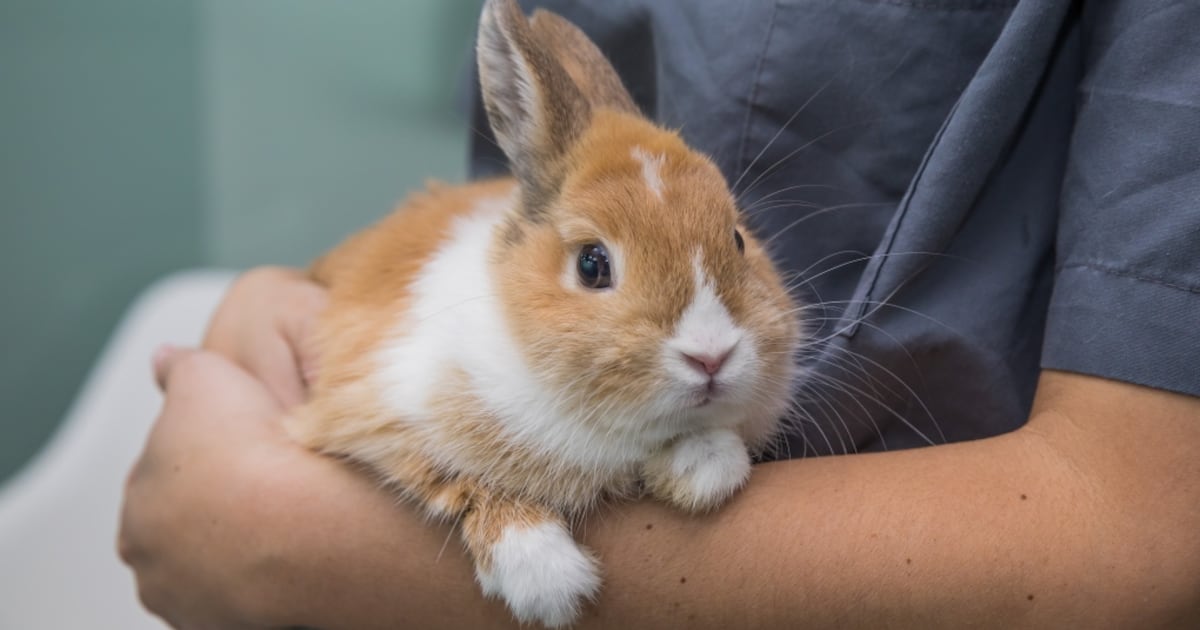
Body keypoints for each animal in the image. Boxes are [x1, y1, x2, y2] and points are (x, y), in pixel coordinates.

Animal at [285, 0, 803, 626]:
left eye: (737, 240)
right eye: (592, 264)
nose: (711, 356)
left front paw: (703, 471)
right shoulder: (379, 408)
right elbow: (463, 479)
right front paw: (546, 577)